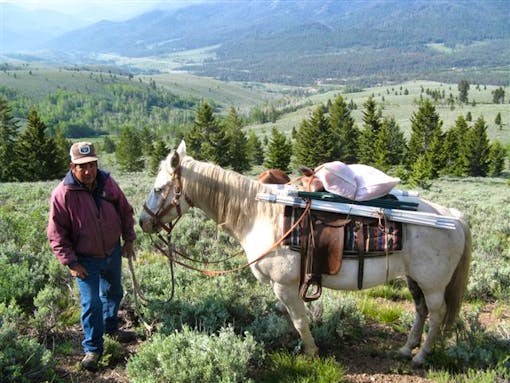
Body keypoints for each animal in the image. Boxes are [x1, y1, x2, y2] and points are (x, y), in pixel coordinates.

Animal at [138, 141, 470, 366]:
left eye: (159, 188)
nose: (142, 222)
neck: (259, 214)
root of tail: (452, 217)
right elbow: (291, 318)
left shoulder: (284, 285)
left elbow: (299, 319)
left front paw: (311, 352)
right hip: (414, 280)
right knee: (421, 311)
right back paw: (405, 349)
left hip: (433, 284)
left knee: (437, 314)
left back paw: (420, 356)